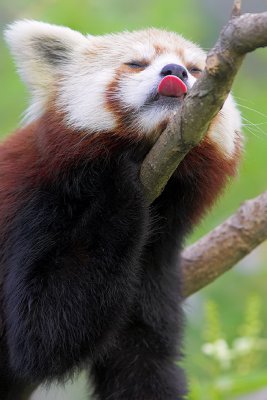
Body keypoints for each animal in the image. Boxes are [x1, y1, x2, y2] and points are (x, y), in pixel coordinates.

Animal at [0, 19, 243, 400]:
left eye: (195, 70)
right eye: (136, 64)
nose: (174, 72)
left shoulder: (152, 259)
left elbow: (139, 356)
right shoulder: (34, 206)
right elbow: (42, 333)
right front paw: (121, 180)